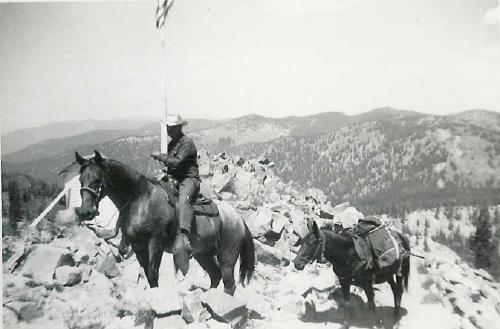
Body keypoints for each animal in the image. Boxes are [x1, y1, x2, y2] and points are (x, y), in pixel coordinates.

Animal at [75, 150, 254, 294]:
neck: (140, 199)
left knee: (229, 284)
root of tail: (239, 219)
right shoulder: (138, 246)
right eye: (80, 180)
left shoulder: (155, 243)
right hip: (203, 255)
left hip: (227, 257)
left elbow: (154, 273)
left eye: (97, 179)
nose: (85, 212)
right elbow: (149, 275)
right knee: (215, 276)